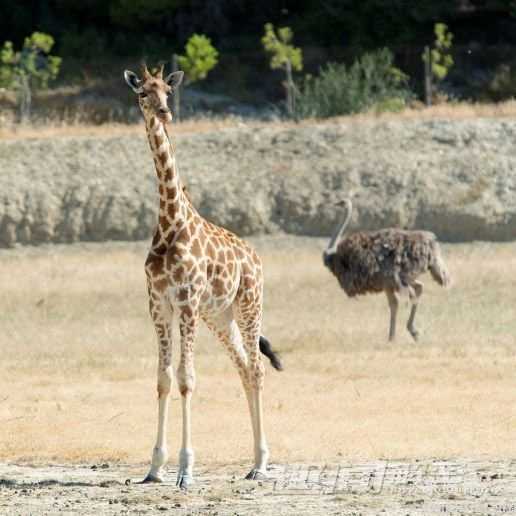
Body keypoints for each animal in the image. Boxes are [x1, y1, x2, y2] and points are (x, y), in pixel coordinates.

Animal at [123, 64, 282, 488]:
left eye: (168, 91)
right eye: (142, 93)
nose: (164, 112)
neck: (169, 223)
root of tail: (256, 258)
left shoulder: (187, 303)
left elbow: (186, 378)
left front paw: (185, 470)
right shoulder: (158, 305)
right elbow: (163, 378)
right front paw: (154, 468)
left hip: (248, 305)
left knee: (257, 368)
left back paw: (261, 464)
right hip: (219, 317)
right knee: (243, 368)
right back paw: (253, 461)